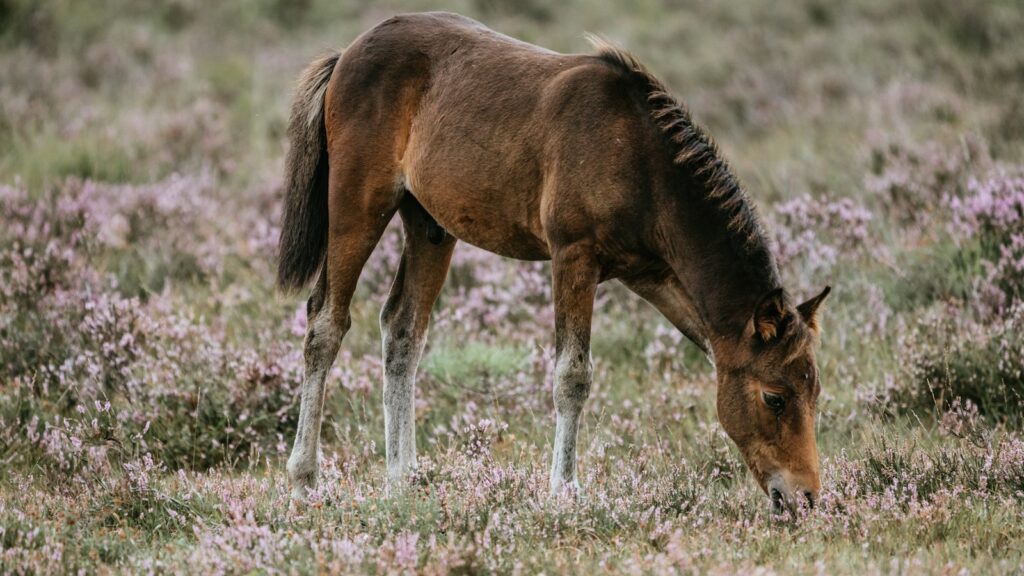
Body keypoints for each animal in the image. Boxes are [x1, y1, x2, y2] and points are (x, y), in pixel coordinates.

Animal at [277, 11, 831, 515]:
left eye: (815, 392)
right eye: (774, 398)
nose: (804, 498)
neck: (640, 161)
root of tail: (347, 54)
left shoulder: (655, 277)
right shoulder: (573, 257)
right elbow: (573, 376)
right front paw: (565, 490)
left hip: (430, 226)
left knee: (402, 331)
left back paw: (402, 479)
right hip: (358, 209)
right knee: (326, 325)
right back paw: (304, 480)